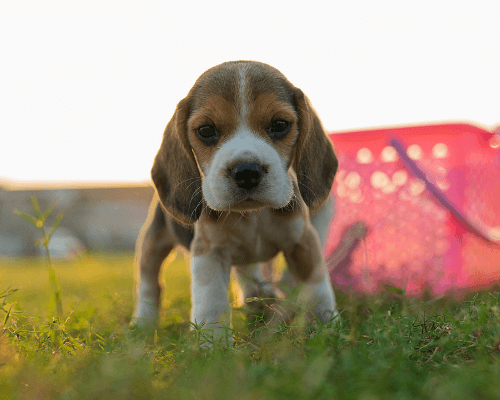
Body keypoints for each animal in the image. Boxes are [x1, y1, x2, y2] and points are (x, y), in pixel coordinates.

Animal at [131, 60, 338, 338]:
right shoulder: (208, 252)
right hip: (153, 241)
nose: (247, 172)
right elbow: (212, 304)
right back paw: (143, 321)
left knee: (248, 274)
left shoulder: (303, 241)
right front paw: (214, 343)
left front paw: (327, 327)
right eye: (206, 130)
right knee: (149, 283)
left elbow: (318, 287)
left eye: (279, 125)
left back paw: (259, 299)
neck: (253, 216)